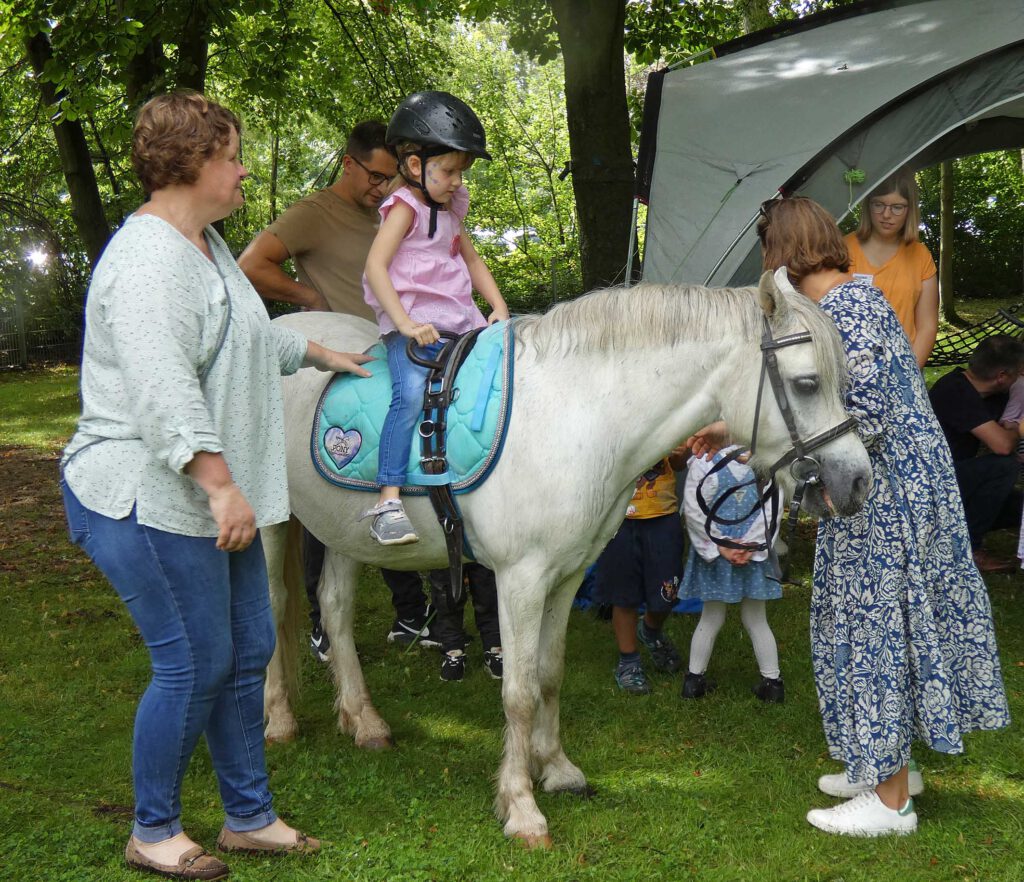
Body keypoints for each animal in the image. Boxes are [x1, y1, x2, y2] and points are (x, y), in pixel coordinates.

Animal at [260, 270, 868, 848]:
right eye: (807, 383)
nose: (857, 480)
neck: (577, 417)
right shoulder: (520, 579)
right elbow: (519, 692)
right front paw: (521, 806)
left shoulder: (568, 575)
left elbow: (549, 675)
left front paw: (554, 768)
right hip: (271, 526)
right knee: (277, 608)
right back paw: (280, 720)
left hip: (343, 533)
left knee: (334, 609)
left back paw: (364, 722)